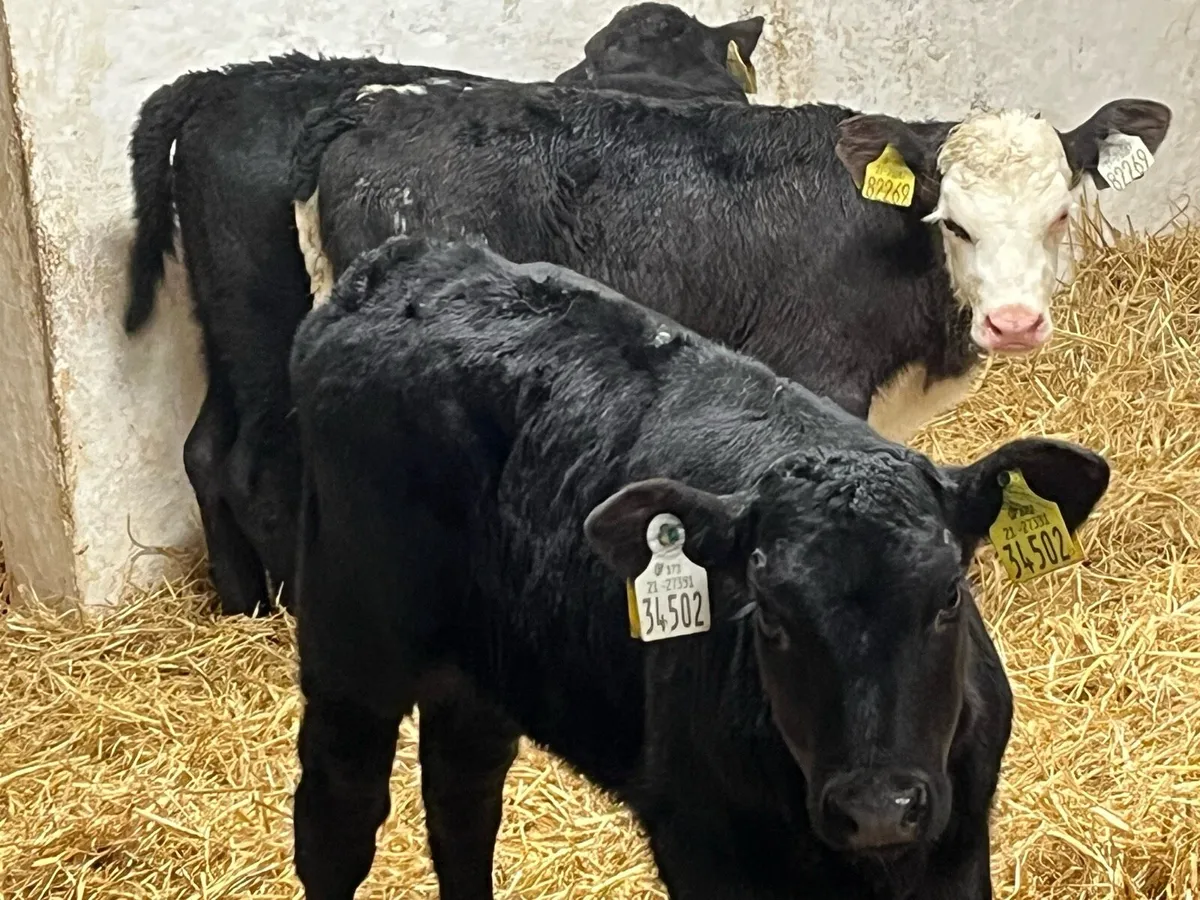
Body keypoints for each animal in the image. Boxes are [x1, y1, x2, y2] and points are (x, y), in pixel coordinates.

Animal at [120, 4, 766, 617]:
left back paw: (243, 598)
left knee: (205, 450)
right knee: (250, 469)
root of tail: (221, 85)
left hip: (228, 324)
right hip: (263, 330)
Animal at [287, 234, 1111, 900]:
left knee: (463, 796)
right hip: (351, 647)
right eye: (770, 616)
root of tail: (406, 260)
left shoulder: (958, 848)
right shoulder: (699, 845)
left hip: (488, 668)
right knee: (337, 816)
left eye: (948, 596)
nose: (877, 809)